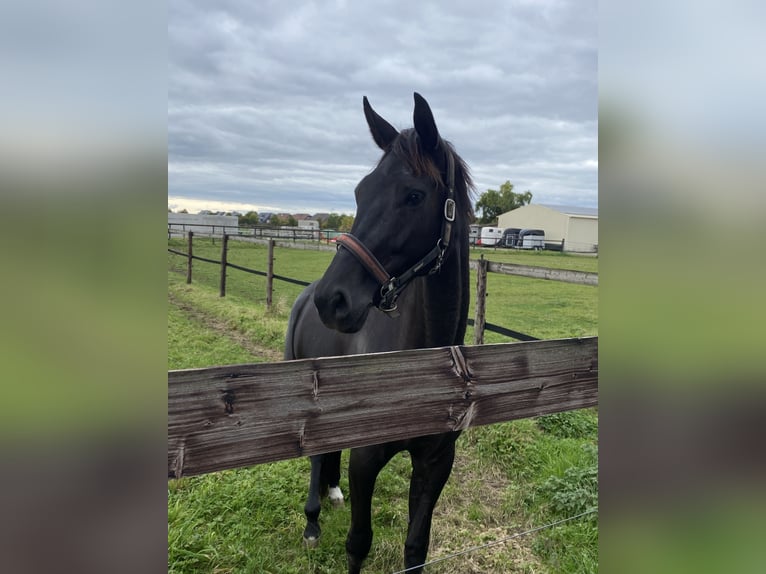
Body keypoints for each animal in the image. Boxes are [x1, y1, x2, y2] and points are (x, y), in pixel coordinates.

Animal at [282, 92, 474, 572]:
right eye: (360, 192)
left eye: (414, 195)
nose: (333, 300)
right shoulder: (366, 459)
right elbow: (359, 542)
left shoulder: (435, 462)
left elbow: (416, 548)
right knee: (317, 456)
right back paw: (312, 520)